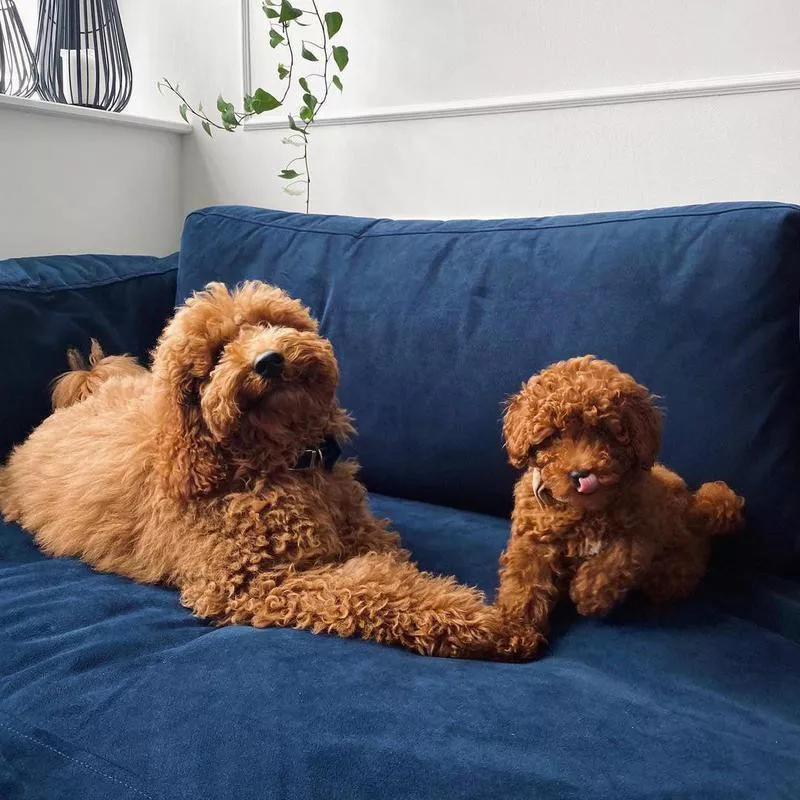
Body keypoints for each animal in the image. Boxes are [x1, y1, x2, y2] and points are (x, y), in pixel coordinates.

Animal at [0, 284, 540, 660]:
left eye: (267, 323)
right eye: (216, 354)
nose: (268, 360)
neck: (287, 465)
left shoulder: (363, 533)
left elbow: (392, 570)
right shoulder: (260, 582)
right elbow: (373, 589)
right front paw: (493, 626)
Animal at [494, 356, 744, 636]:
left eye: (605, 431)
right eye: (555, 435)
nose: (581, 474)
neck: (585, 510)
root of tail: (695, 508)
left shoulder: (643, 527)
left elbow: (619, 558)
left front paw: (588, 593)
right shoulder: (534, 535)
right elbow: (524, 580)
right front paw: (515, 626)